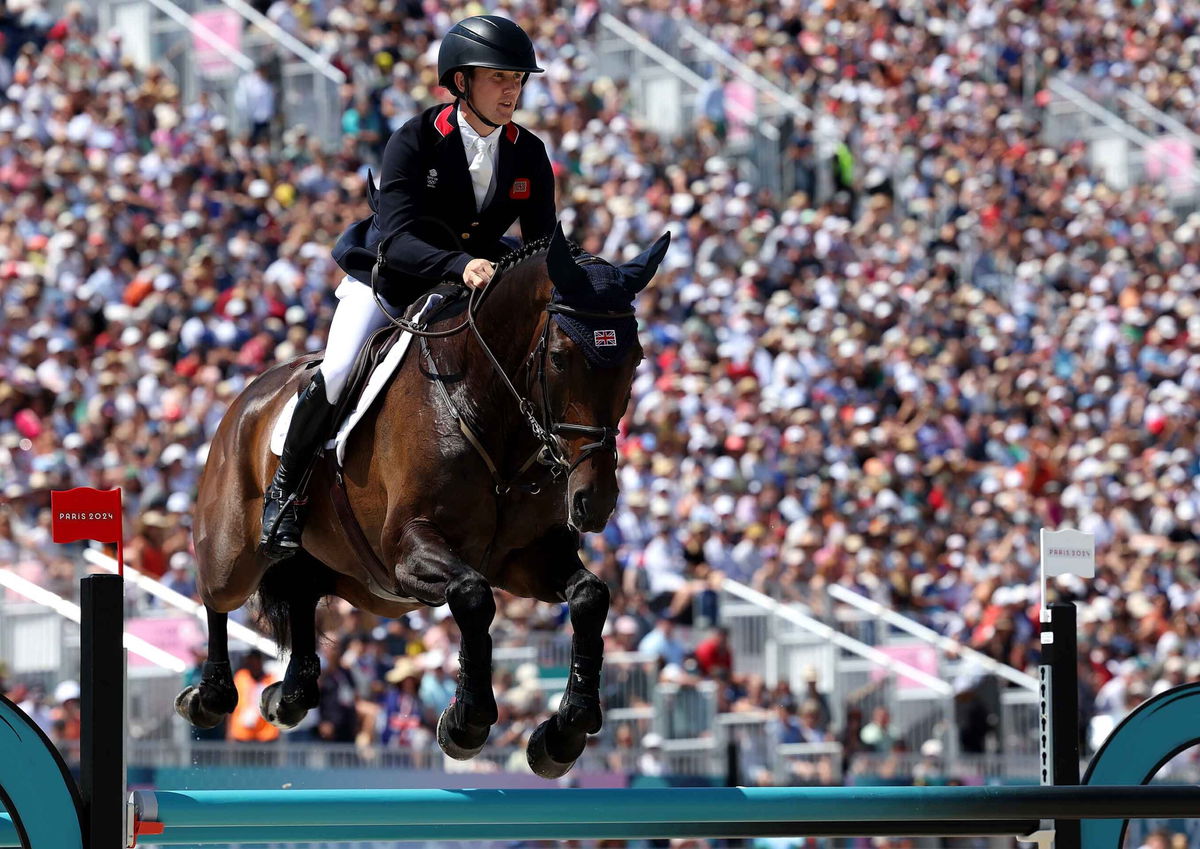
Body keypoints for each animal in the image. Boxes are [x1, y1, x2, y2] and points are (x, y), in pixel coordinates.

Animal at [175, 224, 672, 777]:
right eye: (561, 357)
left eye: (635, 360)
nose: (594, 500)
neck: (488, 409)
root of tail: (249, 396)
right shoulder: (409, 546)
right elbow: (473, 596)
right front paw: (466, 723)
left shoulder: (524, 558)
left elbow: (589, 596)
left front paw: (562, 733)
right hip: (235, 551)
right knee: (216, 594)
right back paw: (210, 696)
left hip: (357, 581)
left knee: (301, 591)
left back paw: (289, 695)